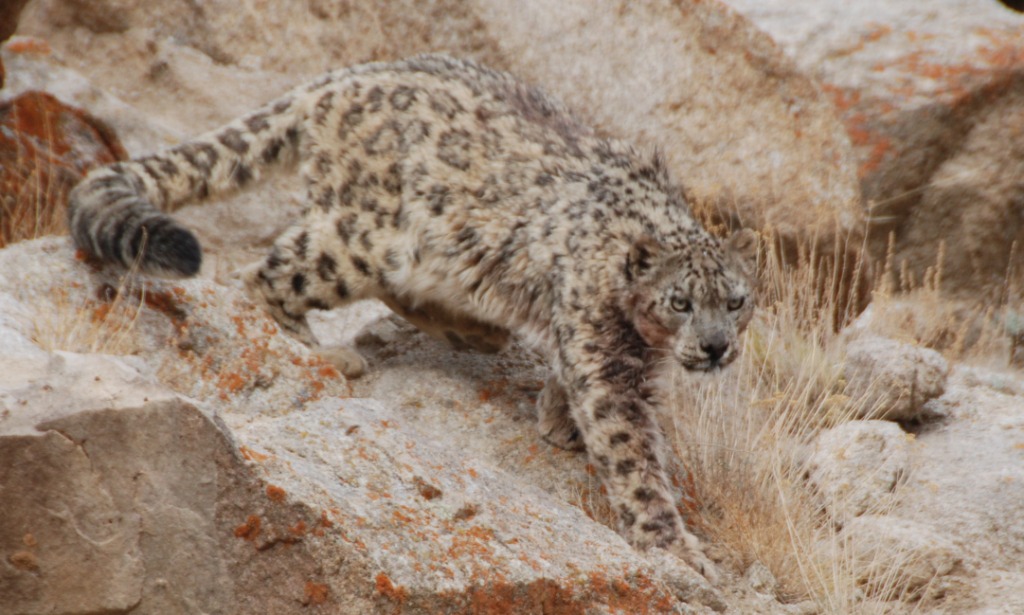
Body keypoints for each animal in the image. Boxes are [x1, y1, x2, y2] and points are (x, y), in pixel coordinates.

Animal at [70, 53, 753, 581]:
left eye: (737, 301)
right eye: (680, 301)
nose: (716, 347)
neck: (645, 340)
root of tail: (341, 77)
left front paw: (558, 418)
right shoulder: (607, 355)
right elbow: (634, 454)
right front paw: (678, 549)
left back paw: (475, 330)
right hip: (361, 238)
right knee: (269, 273)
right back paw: (325, 349)